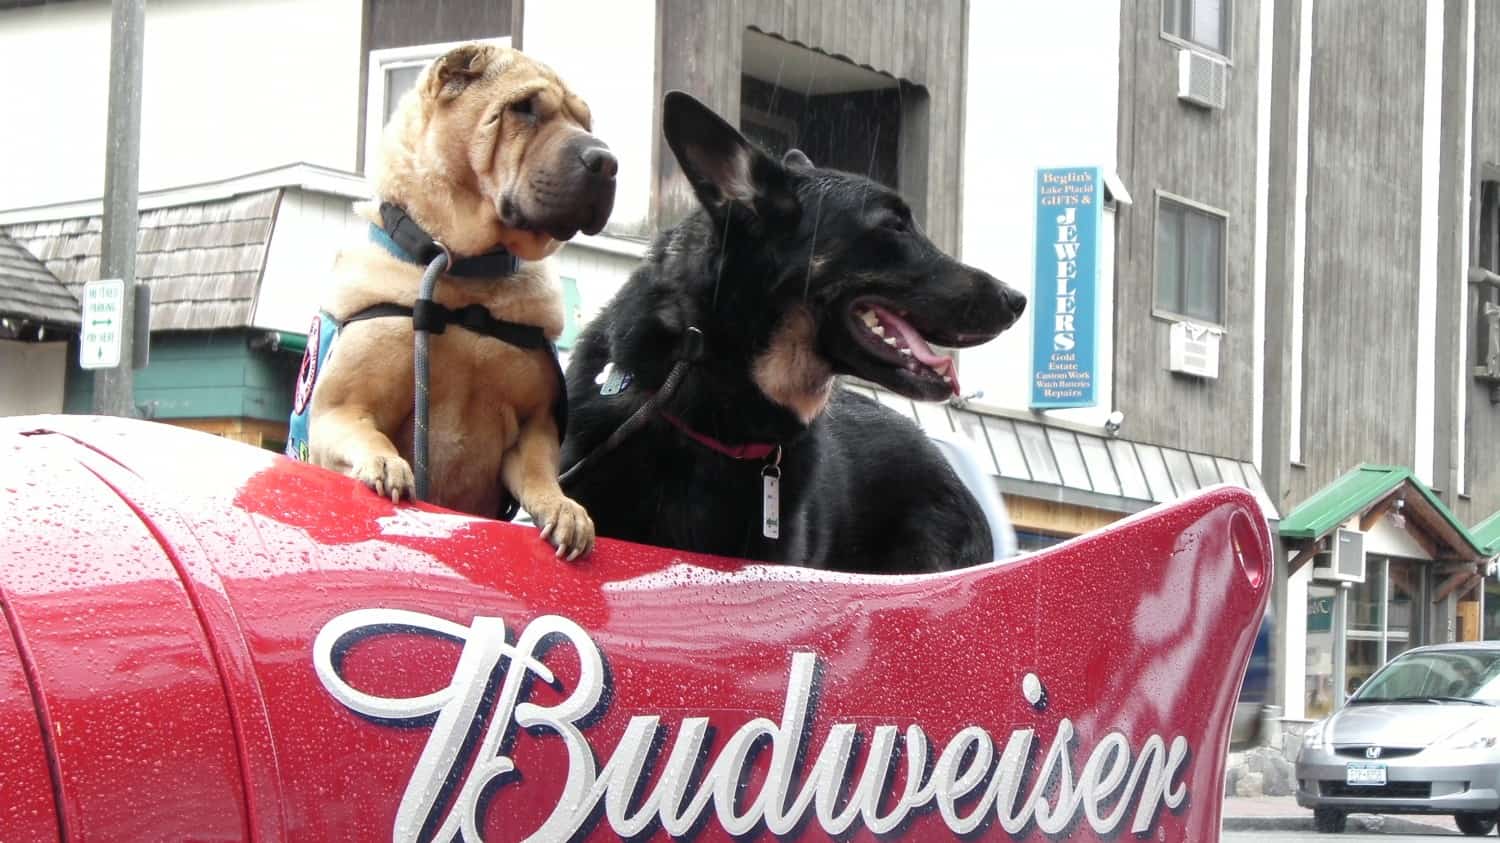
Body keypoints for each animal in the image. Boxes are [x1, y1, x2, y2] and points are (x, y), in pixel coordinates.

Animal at [304, 44, 615, 558]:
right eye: (524, 108)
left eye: (585, 121)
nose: (607, 161)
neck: (466, 275)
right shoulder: (338, 408)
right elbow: (363, 431)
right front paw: (384, 464)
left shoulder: (533, 427)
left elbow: (539, 472)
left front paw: (566, 510)